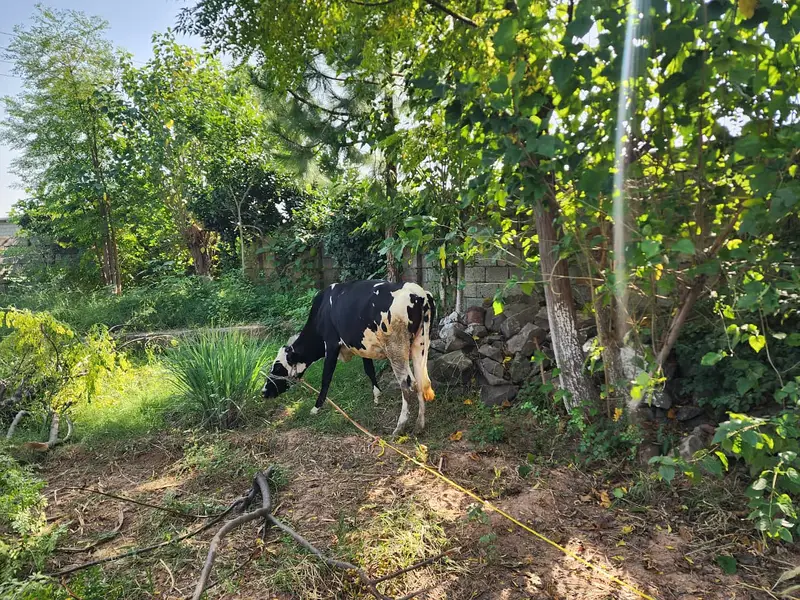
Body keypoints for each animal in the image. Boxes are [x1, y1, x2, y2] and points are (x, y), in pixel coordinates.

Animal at [261, 280, 436, 436]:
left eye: (277, 368)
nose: (263, 391)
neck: (322, 310)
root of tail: (419, 294)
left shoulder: (331, 344)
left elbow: (326, 378)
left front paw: (316, 408)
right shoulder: (362, 346)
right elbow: (369, 370)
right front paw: (377, 396)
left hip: (396, 348)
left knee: (408, 384)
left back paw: (399, 428)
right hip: (420, 344)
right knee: (421, 381)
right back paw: (419, 426)